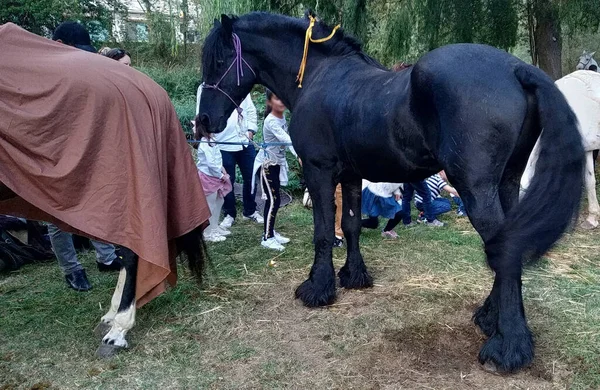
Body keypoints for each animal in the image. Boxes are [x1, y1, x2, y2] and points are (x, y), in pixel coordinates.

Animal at [199, 12, 584, 372]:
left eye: (218, 60)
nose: (202, 122)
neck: (319, 77)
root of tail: (517, 68)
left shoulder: (319, 171)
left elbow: (323, 232)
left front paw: (317, 288)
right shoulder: (351, 176)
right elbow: (350, 225)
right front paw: (354, 276)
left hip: (477, 190)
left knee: (504, 250)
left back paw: (508, 347)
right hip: (506, 184)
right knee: (509, 243)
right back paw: (492, 320)